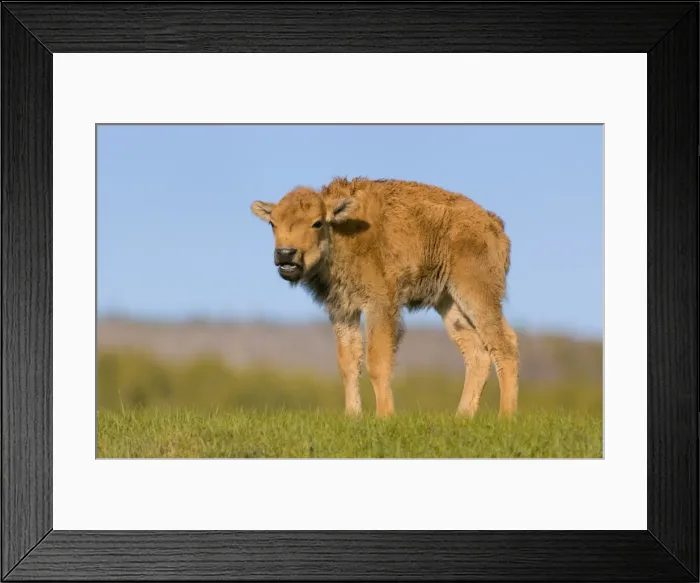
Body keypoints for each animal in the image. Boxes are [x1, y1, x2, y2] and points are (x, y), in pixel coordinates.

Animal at [250, 176, 518, 419]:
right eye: (272, 223)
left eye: (317, 223)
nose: (286, 254)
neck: (342, 232)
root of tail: (495, 225)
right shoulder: (342, 310)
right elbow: (348, 363)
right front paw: (352, 417)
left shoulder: (380, 305)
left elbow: (377, 361)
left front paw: (385, 416)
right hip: (449, 302)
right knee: (477, 352)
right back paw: (462, 417)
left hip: (477, 292)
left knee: (504, 343)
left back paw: (505, 416)